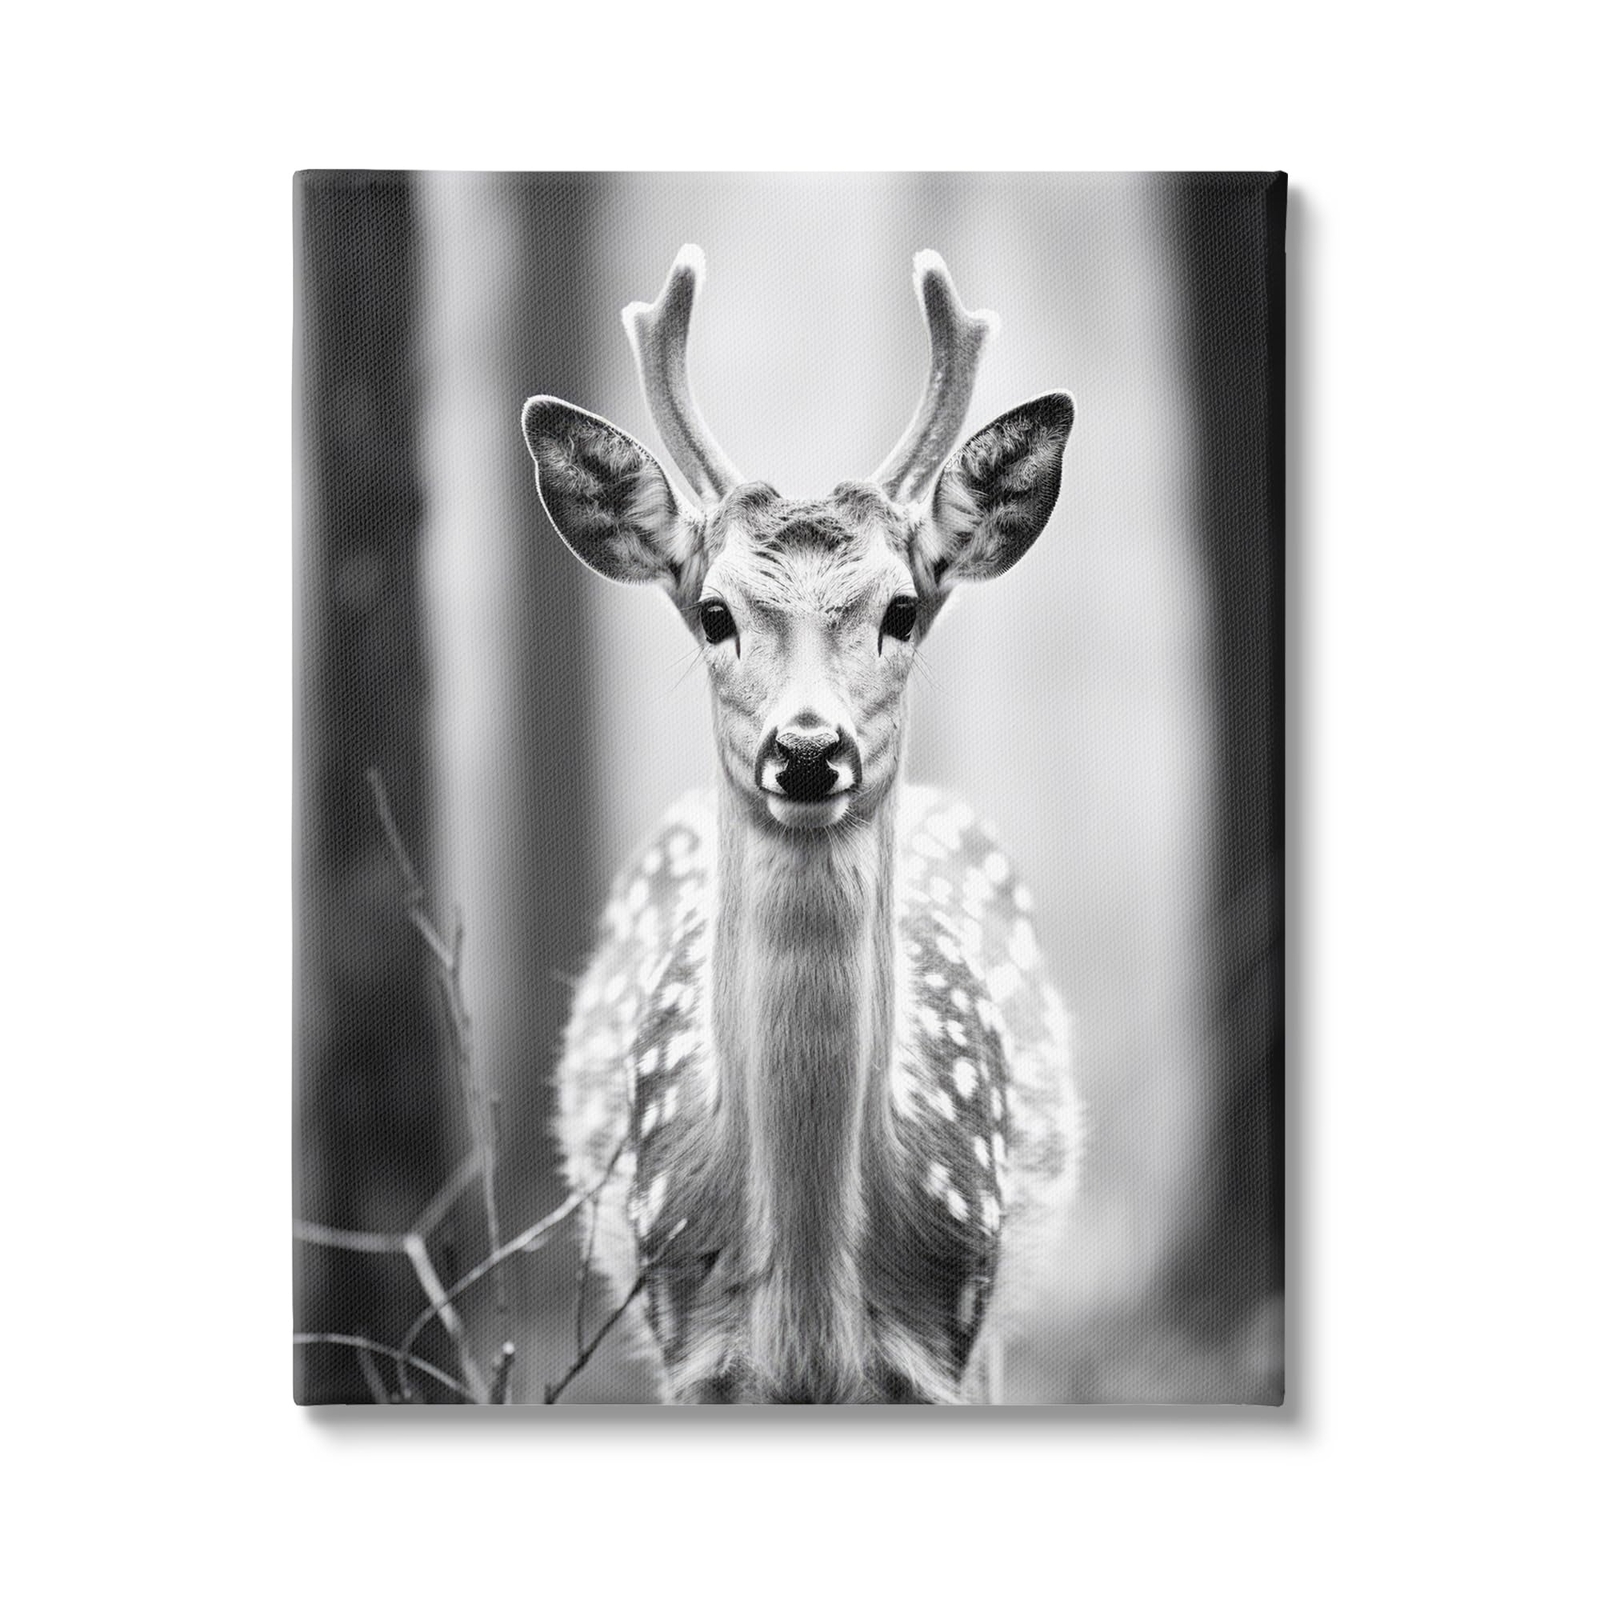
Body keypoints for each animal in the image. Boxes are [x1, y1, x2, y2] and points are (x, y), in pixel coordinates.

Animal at [520, 244, 1083, 1404]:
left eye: (903, 608)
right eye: (714, 613)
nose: (811, 750)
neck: (811, 1308)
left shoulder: (948, 1343)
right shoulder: (685, 1344)